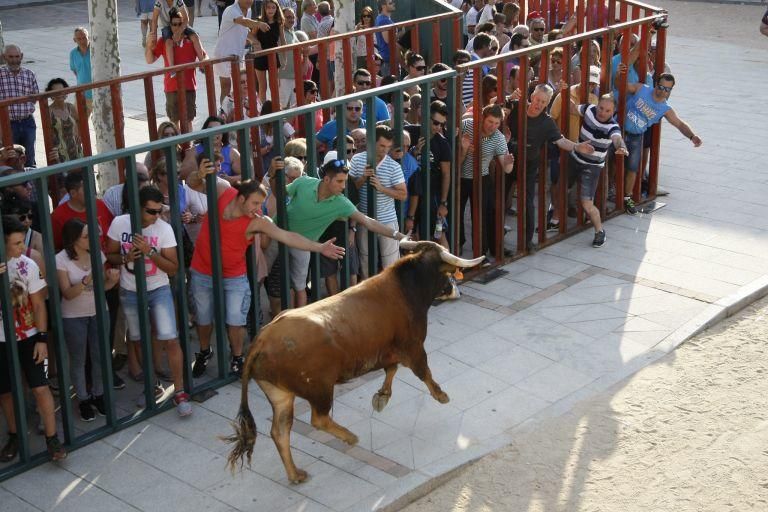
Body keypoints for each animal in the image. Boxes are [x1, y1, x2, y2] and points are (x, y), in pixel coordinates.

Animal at [222, 239, 484, 480]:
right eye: (448, 273)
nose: (456, 290)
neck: (407, 287)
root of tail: (261, 340)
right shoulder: (414, 347)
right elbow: (423, 372)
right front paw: (441, 395)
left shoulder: (388, 351)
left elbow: (391, 370)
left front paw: (381, 397)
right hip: (319, 388)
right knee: (318, 419)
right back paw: (349, 437)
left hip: (280, 394)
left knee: (280, 430)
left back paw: (296, 474)